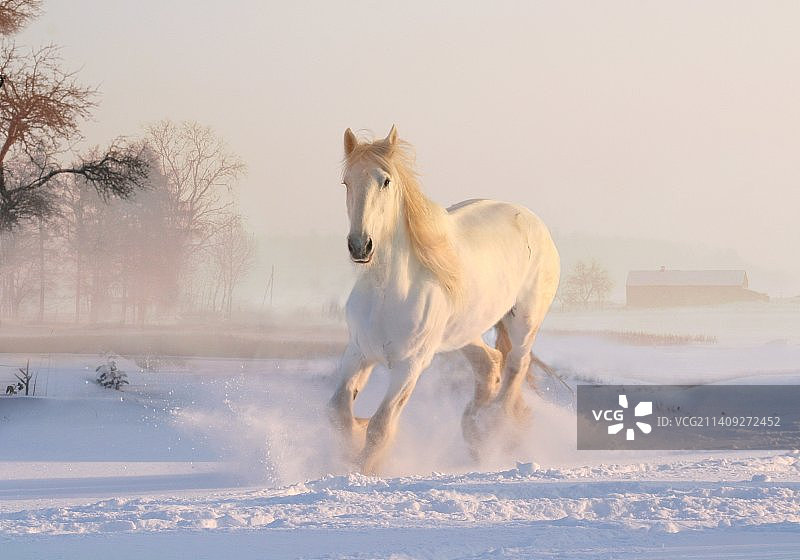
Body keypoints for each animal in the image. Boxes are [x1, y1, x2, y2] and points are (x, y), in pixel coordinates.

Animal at [328, 126, 560, 474]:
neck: (387, 294)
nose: (360, 246)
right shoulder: (358, 353)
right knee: (490, 364)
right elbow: (338, 412)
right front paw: (353, 442)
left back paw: (495, 429)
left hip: (524, 322)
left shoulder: (410, 365)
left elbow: (381, 426)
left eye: (385, 181)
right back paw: (474, 432)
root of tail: (533, 221)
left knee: (516, 367)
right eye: (347, 182)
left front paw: (364, 468)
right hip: (463, 333)